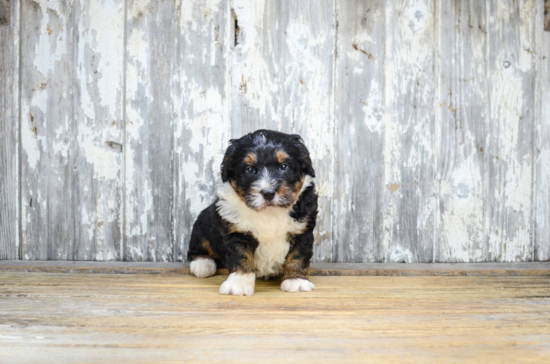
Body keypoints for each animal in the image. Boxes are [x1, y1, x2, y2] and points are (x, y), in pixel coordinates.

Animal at [189, 129, 320, 294]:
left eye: (283, 166)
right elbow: (241, 257)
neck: (269, 213)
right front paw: (238, 283)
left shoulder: (302, 229)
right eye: (249, 170)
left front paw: (296, 280)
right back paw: (203, 264)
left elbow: (298, 255)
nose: (268, 193)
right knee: (197, 247)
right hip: (203, 223)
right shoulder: (236, 231)